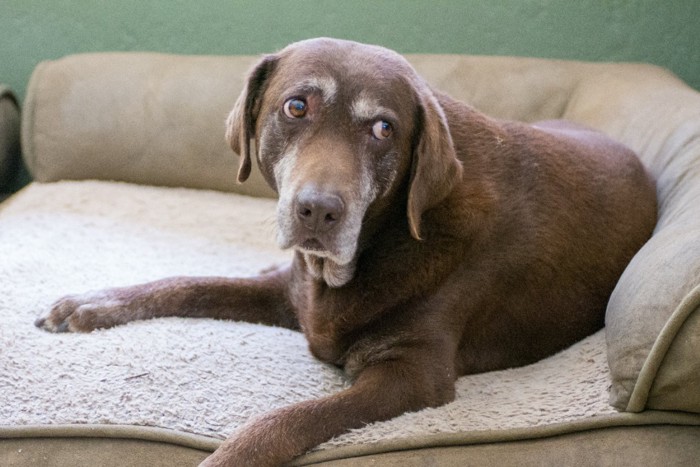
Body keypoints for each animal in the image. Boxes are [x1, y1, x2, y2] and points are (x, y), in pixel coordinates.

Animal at [35, 38, 660, 466]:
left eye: (383, 128)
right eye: (296, 108)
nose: (317, 211)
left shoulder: (412, 374)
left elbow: (284, 422)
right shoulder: (290, 293)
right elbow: (187, 283)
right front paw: (91, 303)